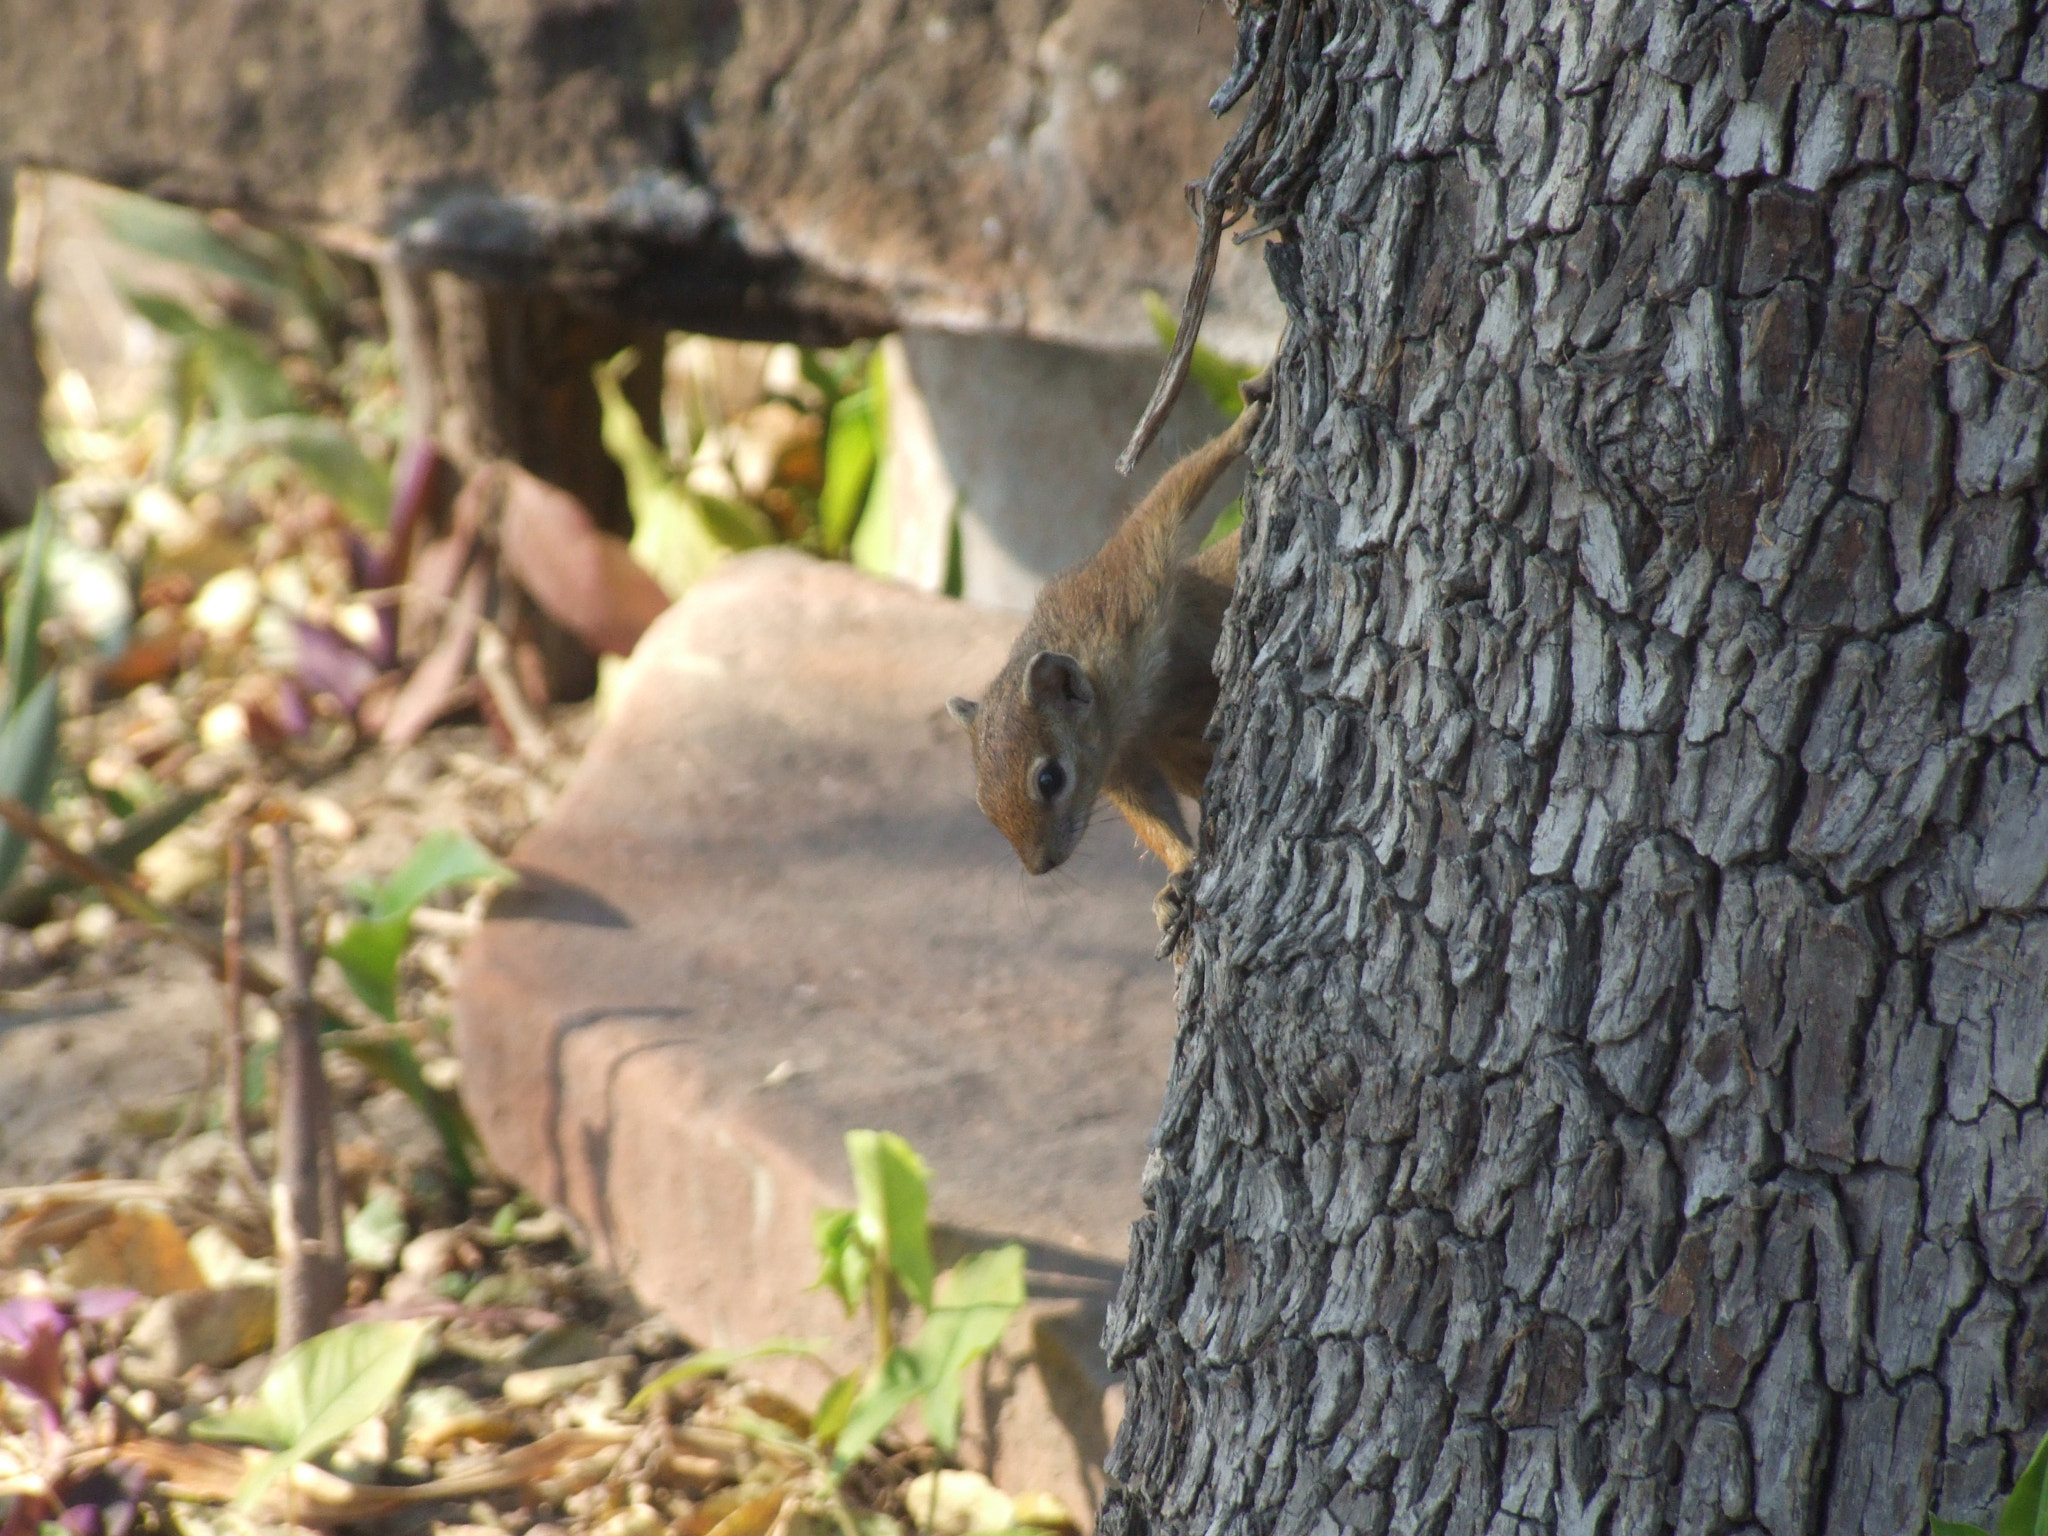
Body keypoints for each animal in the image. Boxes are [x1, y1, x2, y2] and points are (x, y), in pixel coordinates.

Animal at [946, 385, 1261, 950]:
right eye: (982, 801)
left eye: (1049, 779)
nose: (1039, 868)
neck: (1130, 707)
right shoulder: (1122, 758)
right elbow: (1150, 812)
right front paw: (1181, 871)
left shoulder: (1127, 584)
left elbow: (1170, 495)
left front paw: (1247, 422)